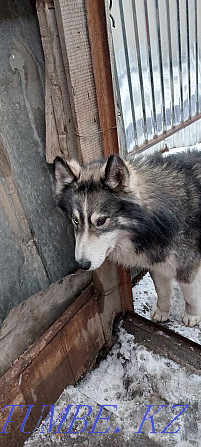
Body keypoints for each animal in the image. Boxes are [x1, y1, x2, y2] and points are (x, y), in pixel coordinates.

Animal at [53, 152, 201, 328]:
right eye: (76, 220)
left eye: (101, 221)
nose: (82, 265)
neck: (155, 225)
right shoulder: (155, 265)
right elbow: (162, 292)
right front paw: (162, 311)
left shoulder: (188, 269)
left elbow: (191, 297)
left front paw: (192, 315)